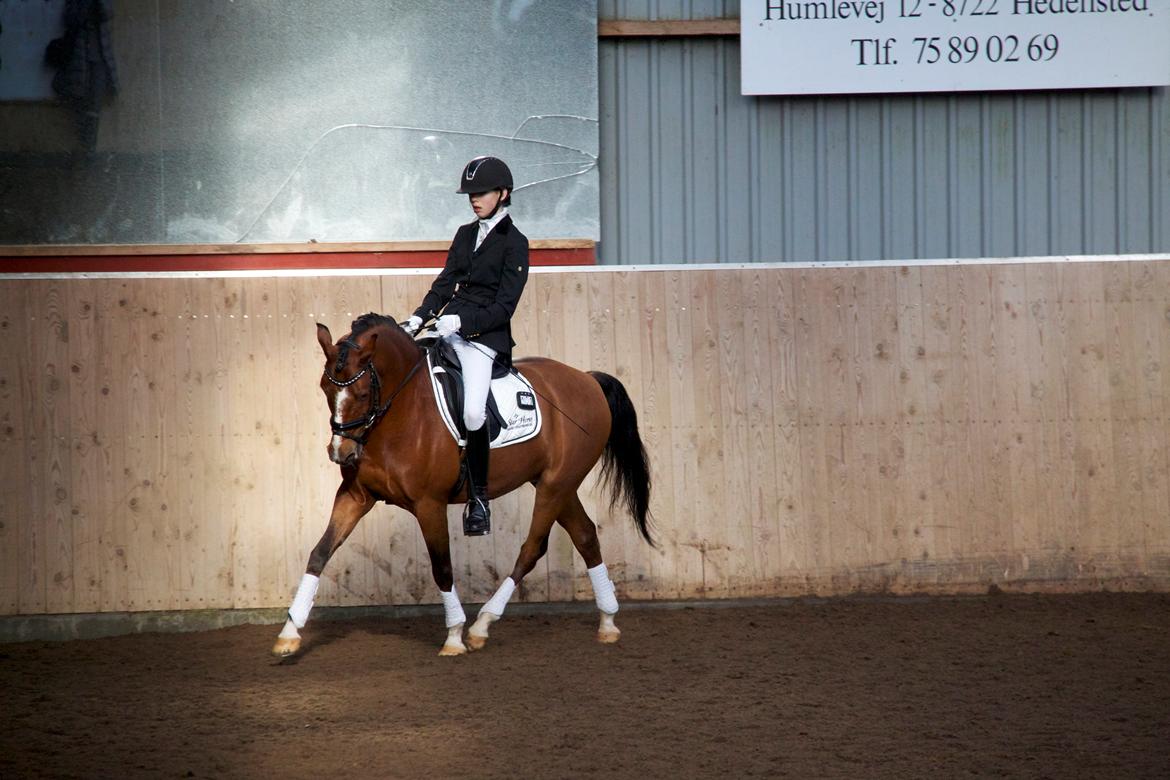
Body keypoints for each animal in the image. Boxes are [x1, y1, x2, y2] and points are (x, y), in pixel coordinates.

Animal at [271, 313, 654, 657]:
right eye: (325, 388)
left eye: (364, 393)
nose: (342, 453)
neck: (403, 411)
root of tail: (587, 379)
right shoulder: (355, 496)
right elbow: (320, 553)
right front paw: (289, 633)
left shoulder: (429, 503)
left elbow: (442, 567)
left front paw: (454, 636)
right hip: (560, 484)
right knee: (586, 535)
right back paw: (608, 622)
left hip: (554, 486)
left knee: (532, 548)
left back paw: (482, 624)